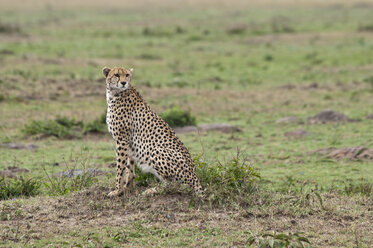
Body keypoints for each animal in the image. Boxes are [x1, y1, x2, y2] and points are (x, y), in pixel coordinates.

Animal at [102, 67, 203, 197]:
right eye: (116, 75)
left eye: (127, 75)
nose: (124, 83)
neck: (115, 93)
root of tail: (196, 177)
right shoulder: (128, 141)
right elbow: (129, 167)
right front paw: (128, 188)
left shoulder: (122, 139)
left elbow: (120, 167)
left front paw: (117, 190)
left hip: (156, 150)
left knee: (175, 185)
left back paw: (152, 190)